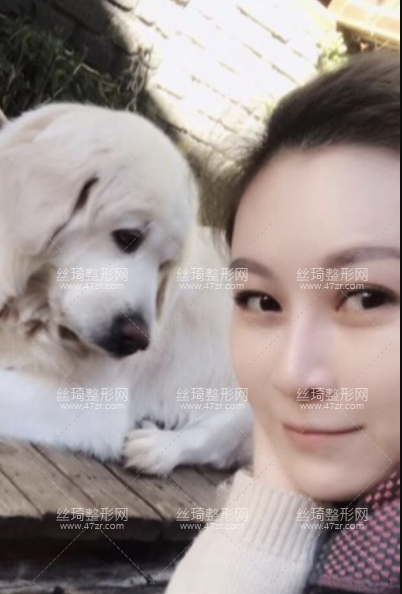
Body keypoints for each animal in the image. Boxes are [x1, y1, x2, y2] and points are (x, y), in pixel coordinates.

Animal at [0, 104, 253, 475]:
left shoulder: (91, 404)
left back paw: (155, 449)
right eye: (128, 237)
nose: (137, 339)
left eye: (164, 266)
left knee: (219, 442)